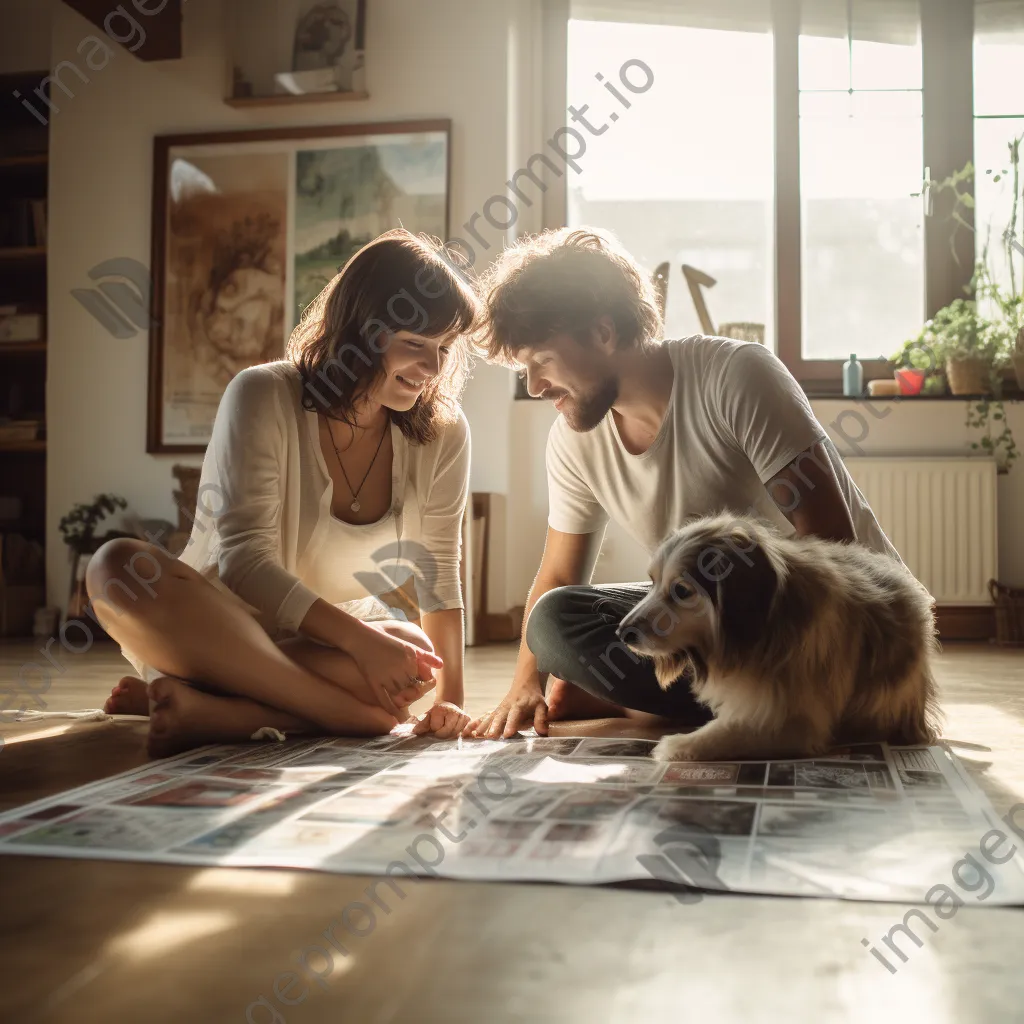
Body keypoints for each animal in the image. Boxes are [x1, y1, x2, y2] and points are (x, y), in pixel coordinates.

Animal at [614, 516, 942, 765]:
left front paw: (680, 745)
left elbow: (731, 732)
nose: (622, 633)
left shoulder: (793, 721)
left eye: (682, 590)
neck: (766, 628)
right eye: (652, 581)